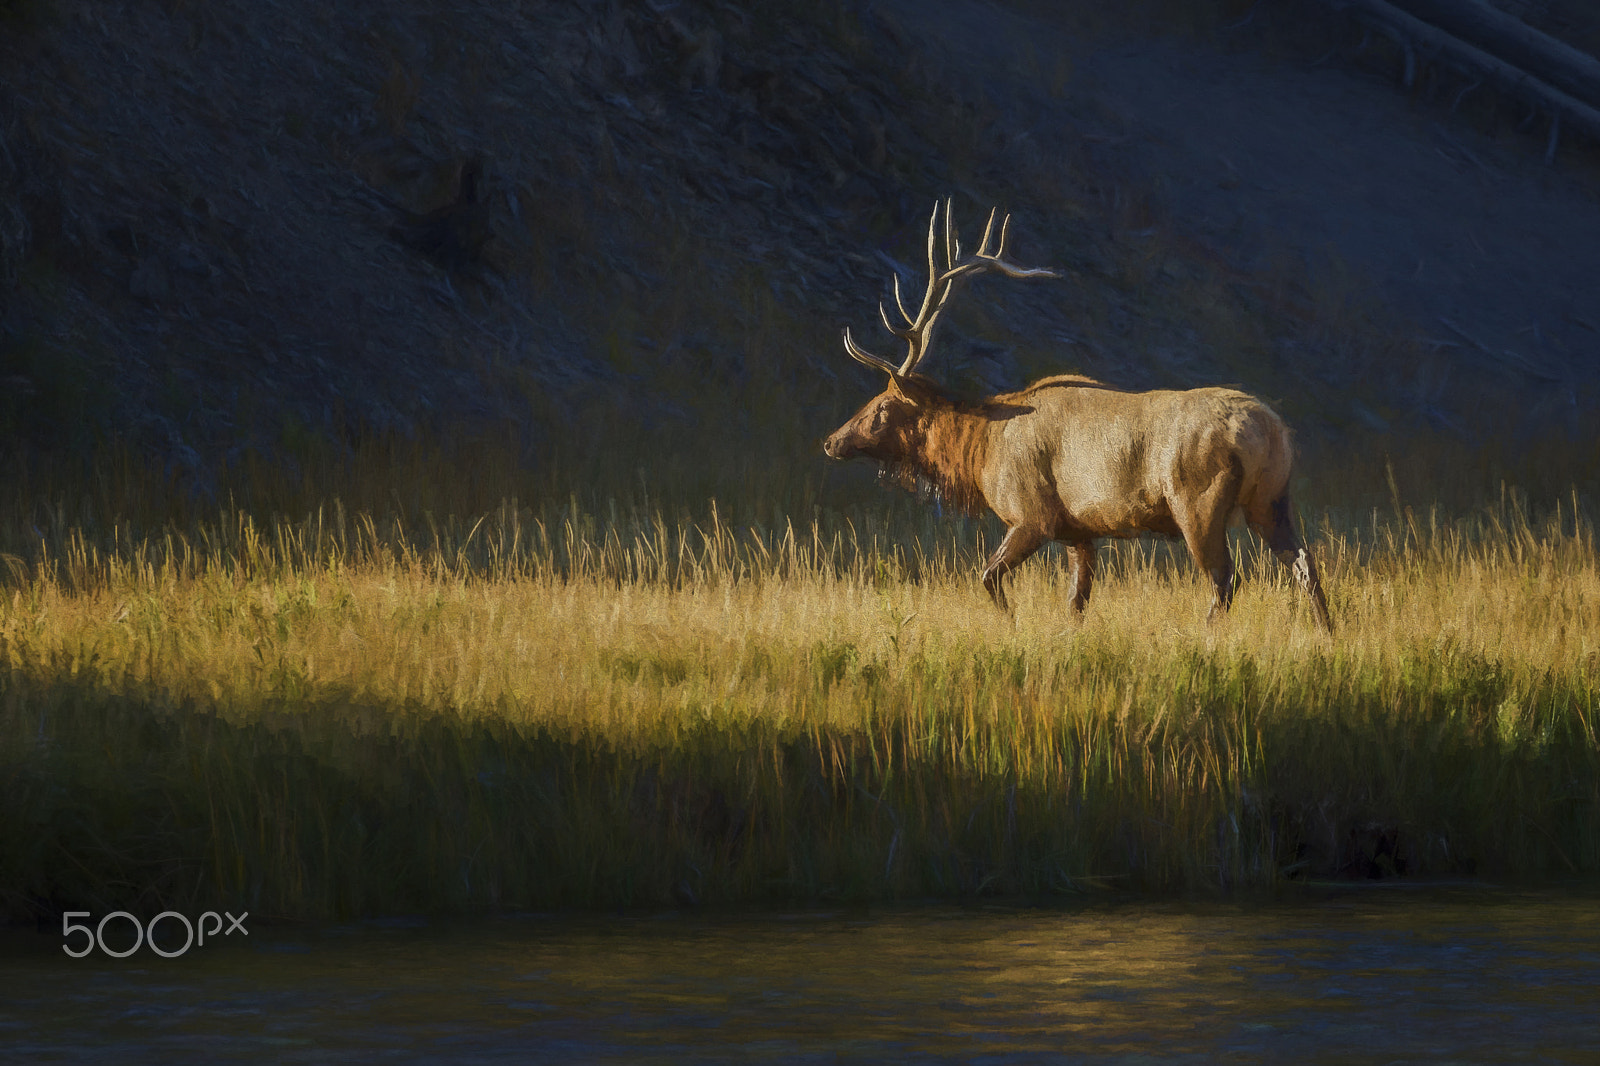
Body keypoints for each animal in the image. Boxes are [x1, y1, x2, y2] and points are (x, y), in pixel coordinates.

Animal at [822, 201, 1333, 633]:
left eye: (882, 405)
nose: (831, 441)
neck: (980, 451)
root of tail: (1271, 431)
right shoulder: (1079, 532)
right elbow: (1076, 601)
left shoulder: (1031, 516)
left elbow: (988, 577)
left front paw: (1012, 626)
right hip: (1272, 499)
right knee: (1305, 563)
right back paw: (1326, 633)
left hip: (1198, 503)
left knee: (1225, 578)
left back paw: (1207, 635)